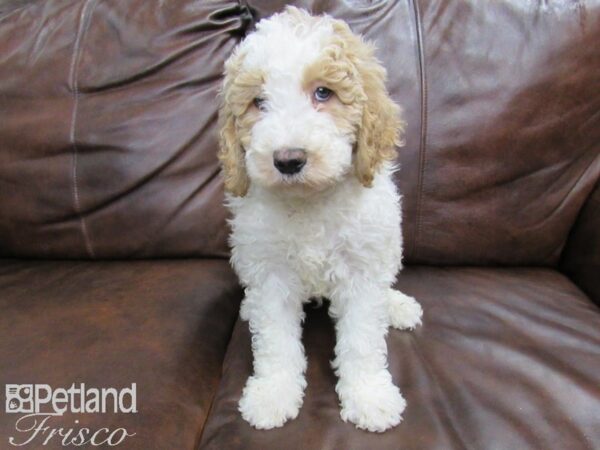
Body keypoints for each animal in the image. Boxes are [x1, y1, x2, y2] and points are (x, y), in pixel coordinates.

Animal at [217, 7, 422, 434]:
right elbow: (276, 342)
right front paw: (273, 394)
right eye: (258, 101)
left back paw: (396, 306)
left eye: (323, 93)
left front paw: (369, 396)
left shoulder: (361, 271)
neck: (309, 201)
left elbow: (362, 340)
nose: (288, 160)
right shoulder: (271, 274)